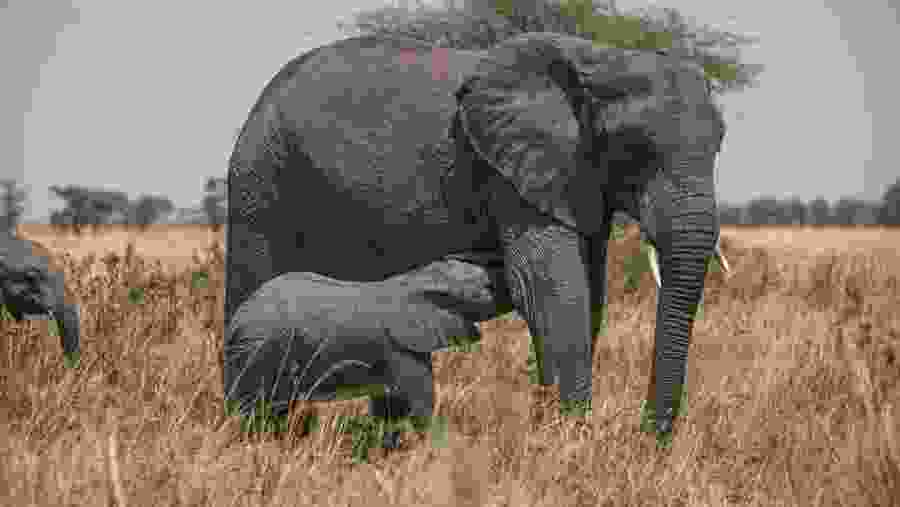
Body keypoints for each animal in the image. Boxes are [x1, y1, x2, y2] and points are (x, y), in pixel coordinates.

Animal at [225, 256, 512, 447]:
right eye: (488, 287)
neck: (416, 278)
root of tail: (234, 322)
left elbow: (391, 407)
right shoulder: (397, 345)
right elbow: (419, 401)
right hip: (261, 349)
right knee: (262, 406)